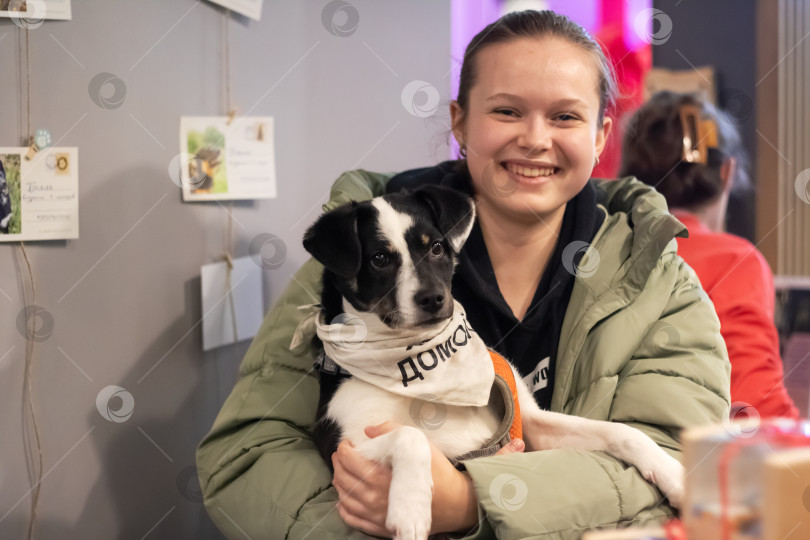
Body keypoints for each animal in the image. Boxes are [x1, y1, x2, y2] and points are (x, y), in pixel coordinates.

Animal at [302, 187, 680, 540]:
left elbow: (621, 431)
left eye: (436, 248)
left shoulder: (531, 424)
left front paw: (671, 471)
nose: (433, 299)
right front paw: (410, 508)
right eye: (379, 259)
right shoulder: (345, 447)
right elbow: (410, 435)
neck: (422, 364)